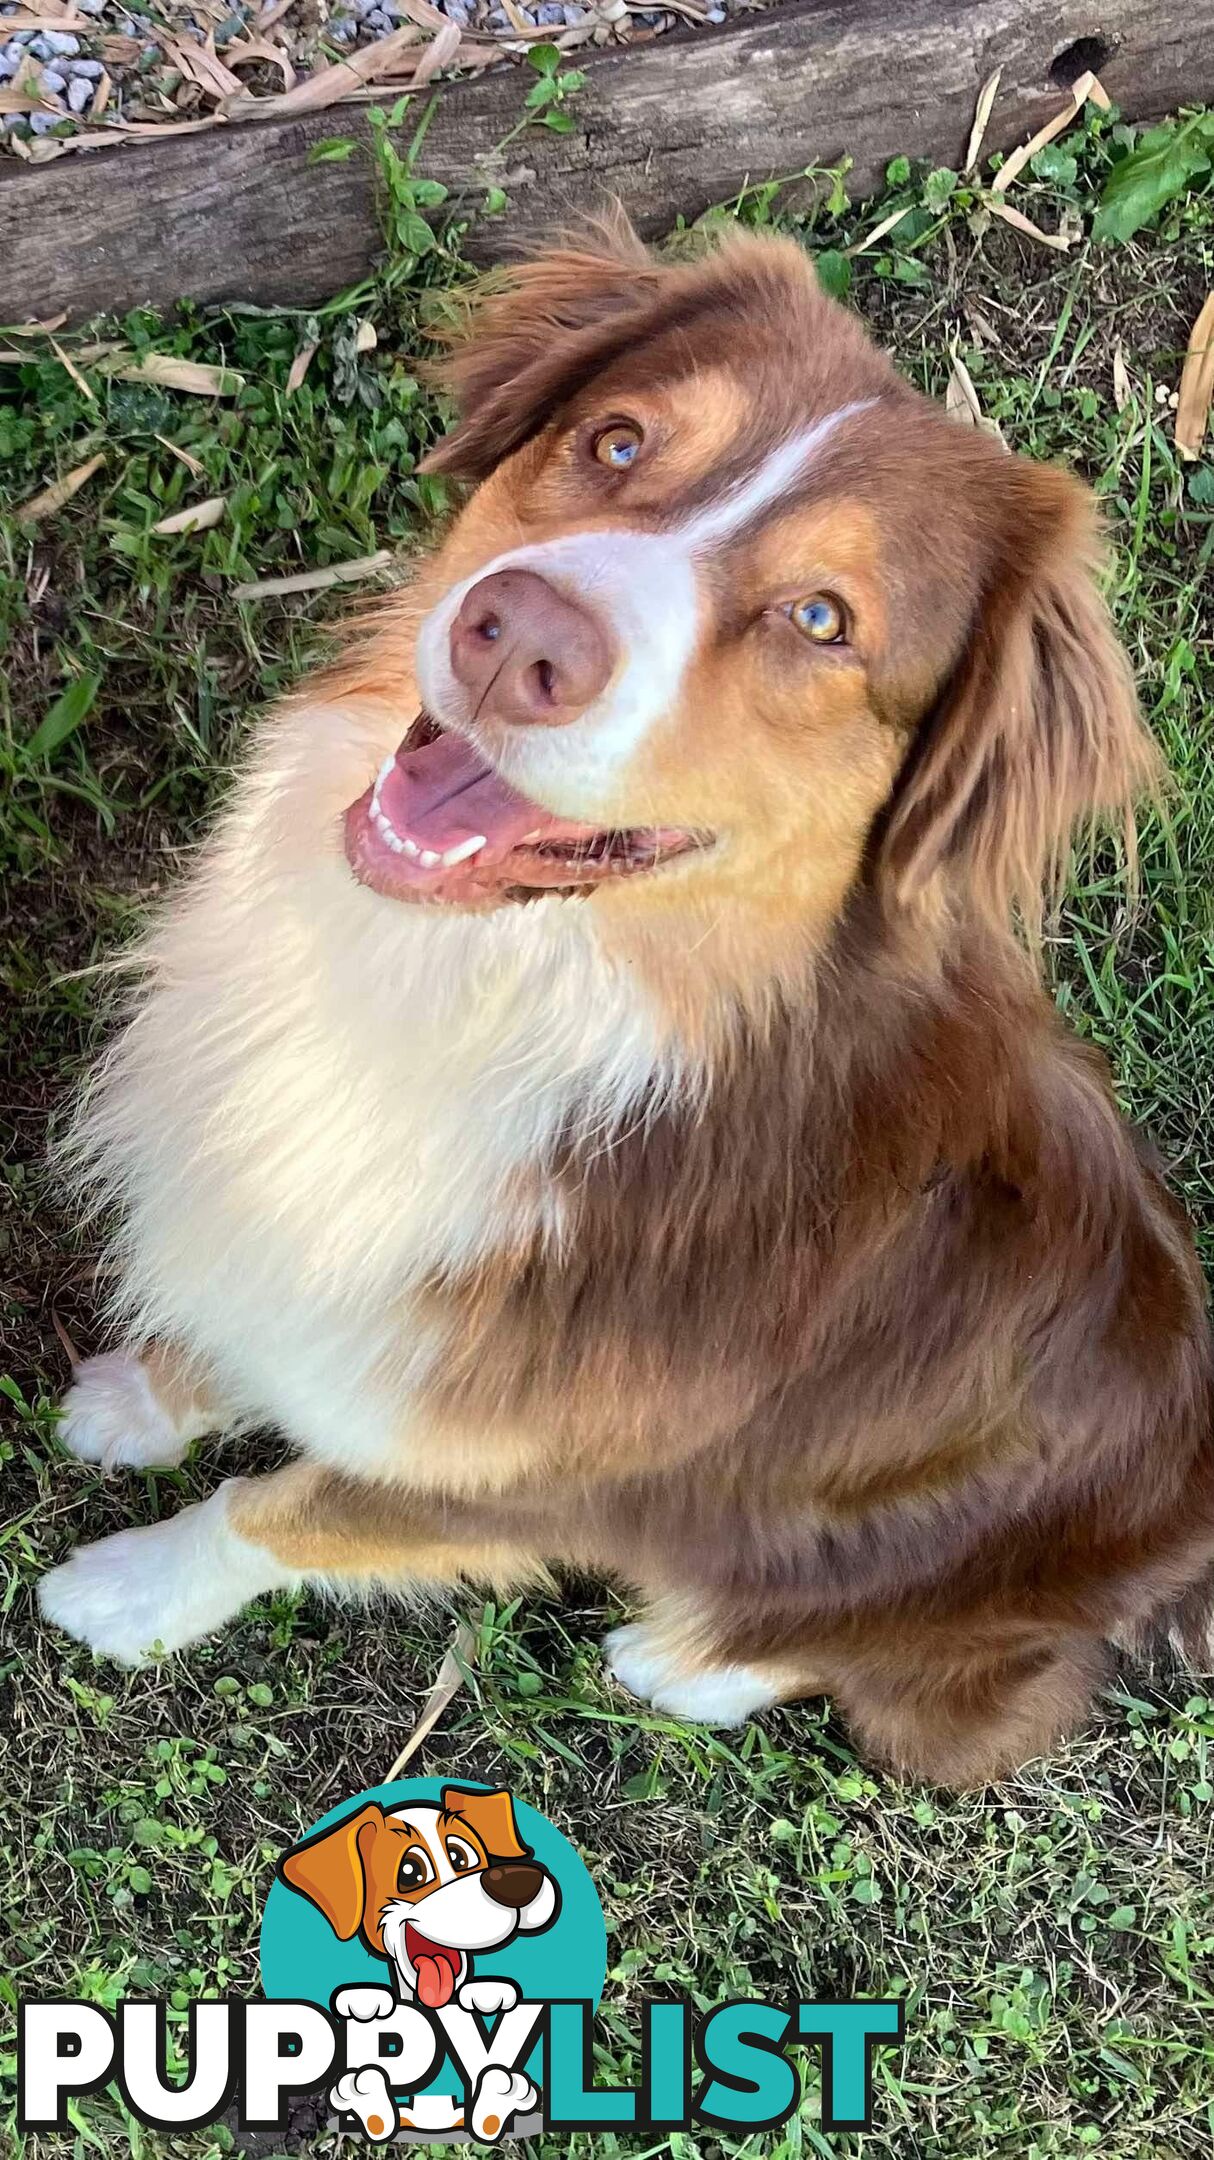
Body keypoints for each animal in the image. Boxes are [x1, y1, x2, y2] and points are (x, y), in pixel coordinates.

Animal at [37, 219, 1209, 1788]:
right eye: (615, 439)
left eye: (822, 620)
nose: (515, 632)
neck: (502, 995)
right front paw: (146, 1397)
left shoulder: (524, 1484)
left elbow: (282, 1514)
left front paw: (128, 1590)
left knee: (951, 1686)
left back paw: (684, 1661)